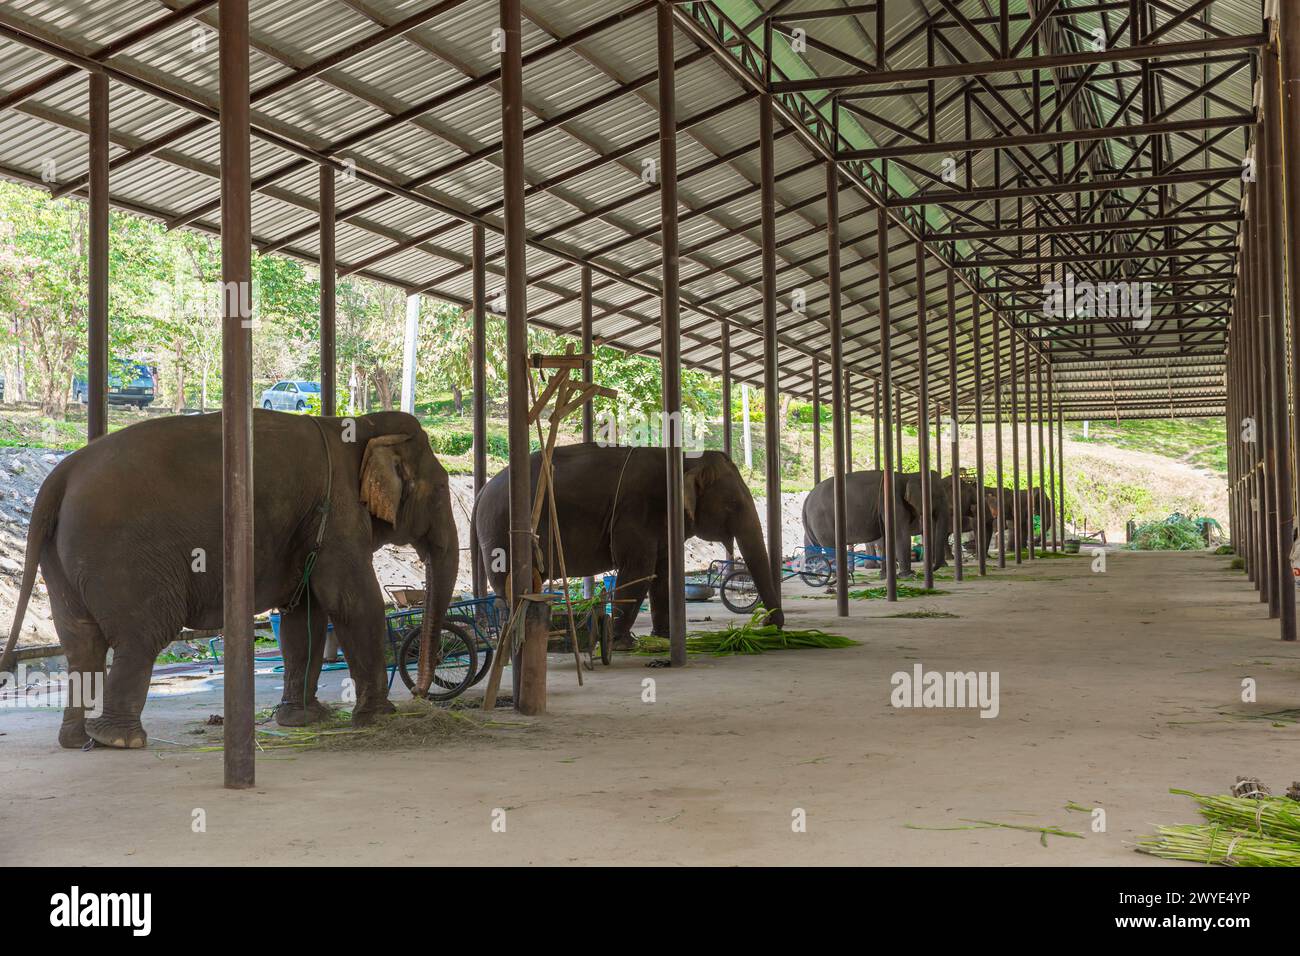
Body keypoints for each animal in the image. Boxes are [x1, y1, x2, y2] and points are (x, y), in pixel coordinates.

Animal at [0, 408, 457, 749]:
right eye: (439, 491)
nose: (421, 693)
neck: (356, 424)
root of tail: (59, 477)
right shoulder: (340, 512)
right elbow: (352, 602)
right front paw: (380, 718)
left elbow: (304, 614)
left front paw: (303, 720)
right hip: (120, 554)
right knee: (143, 634)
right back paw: (120, 741)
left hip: (61, 558)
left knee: (81, 643)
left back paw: (77, 739)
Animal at [475, 447, 780, 642]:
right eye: (734, 504)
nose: (766, 624)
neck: (684, 460)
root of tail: (482, 490)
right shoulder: (637, 509)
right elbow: (639, 569)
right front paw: (623, 642)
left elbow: (662, 573)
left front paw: (663, 637)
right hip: (501, 530)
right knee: (509, 586)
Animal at [795, 470, 951, 574]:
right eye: (937, 496)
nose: (932, 569)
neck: (908, 475)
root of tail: (807, 498)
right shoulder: (893, 503)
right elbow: (900, 534)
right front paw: (908, 575)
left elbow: (888, 535)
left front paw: (887, 575)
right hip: (822, 522)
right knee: (831, 547)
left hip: (813, 525)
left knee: (812, 546)